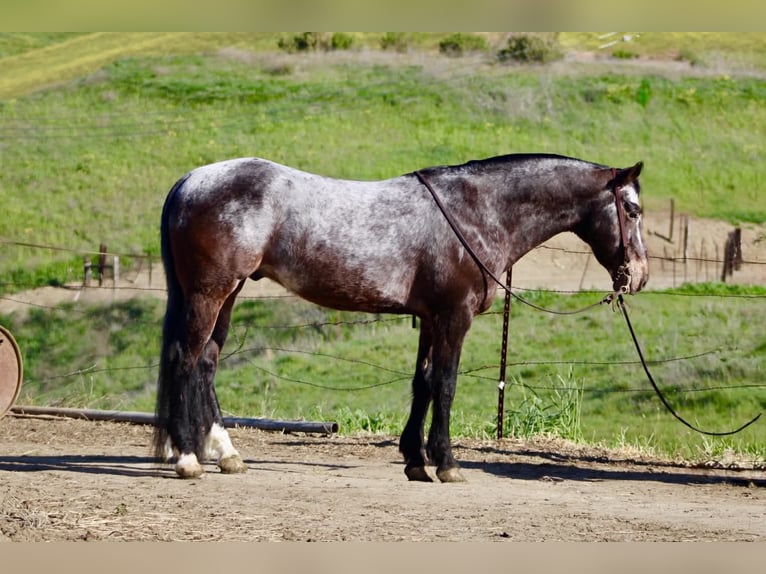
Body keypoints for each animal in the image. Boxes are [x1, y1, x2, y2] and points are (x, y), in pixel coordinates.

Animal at [154, 152, 649, 482]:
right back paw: (187, 458)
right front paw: (446, 463)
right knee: (185, 359)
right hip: (209, 293)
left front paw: (415, 460)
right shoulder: (454, 317)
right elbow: (445, 384)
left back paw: (226, 454)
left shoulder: (430, 318)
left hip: (228, 293)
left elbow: (422, 383)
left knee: (206, 363)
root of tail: (191, 180)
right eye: (633, 209)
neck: (476, 212)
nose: (640, 275)